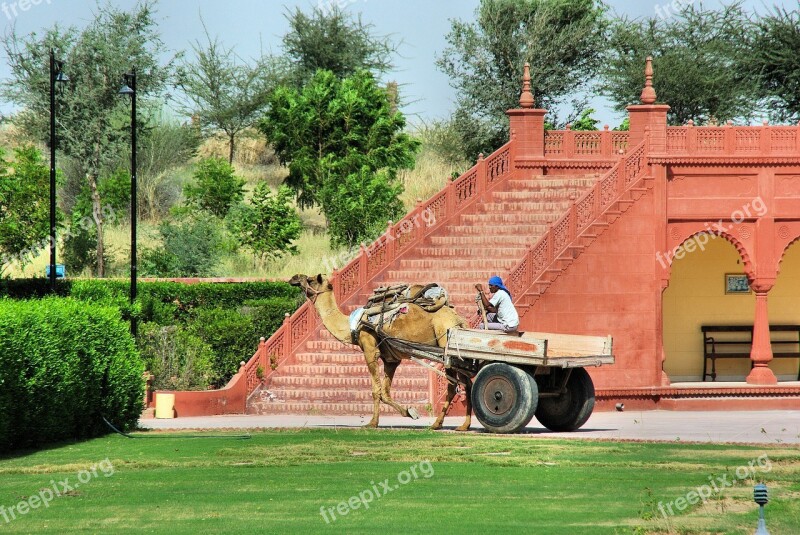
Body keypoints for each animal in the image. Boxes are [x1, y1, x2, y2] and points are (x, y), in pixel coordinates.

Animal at [290, 274, 472, 434]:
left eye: (311, 280)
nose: (294, 278)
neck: (353, 325)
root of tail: (459, 320)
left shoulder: (370, 349)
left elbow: (375, 390)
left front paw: (372, 423)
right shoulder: (391, 359)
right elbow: (385, 391)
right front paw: (410, 412)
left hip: (446, 346)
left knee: (453, 385)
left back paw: (439, 424)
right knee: (466, 382)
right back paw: (462, 425)